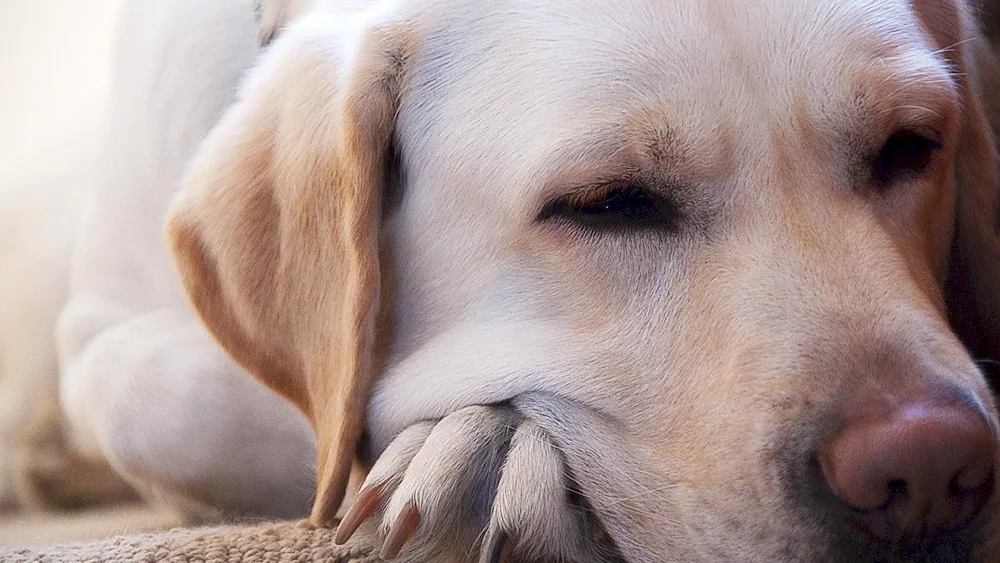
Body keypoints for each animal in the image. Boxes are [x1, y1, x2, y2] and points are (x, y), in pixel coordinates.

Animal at [5, 0, 992, 560]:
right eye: (605, 202)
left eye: (911, 144)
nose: (928, 466)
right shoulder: (98, 329)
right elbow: (198, 406)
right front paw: (479, 440)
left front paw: (486, 441)